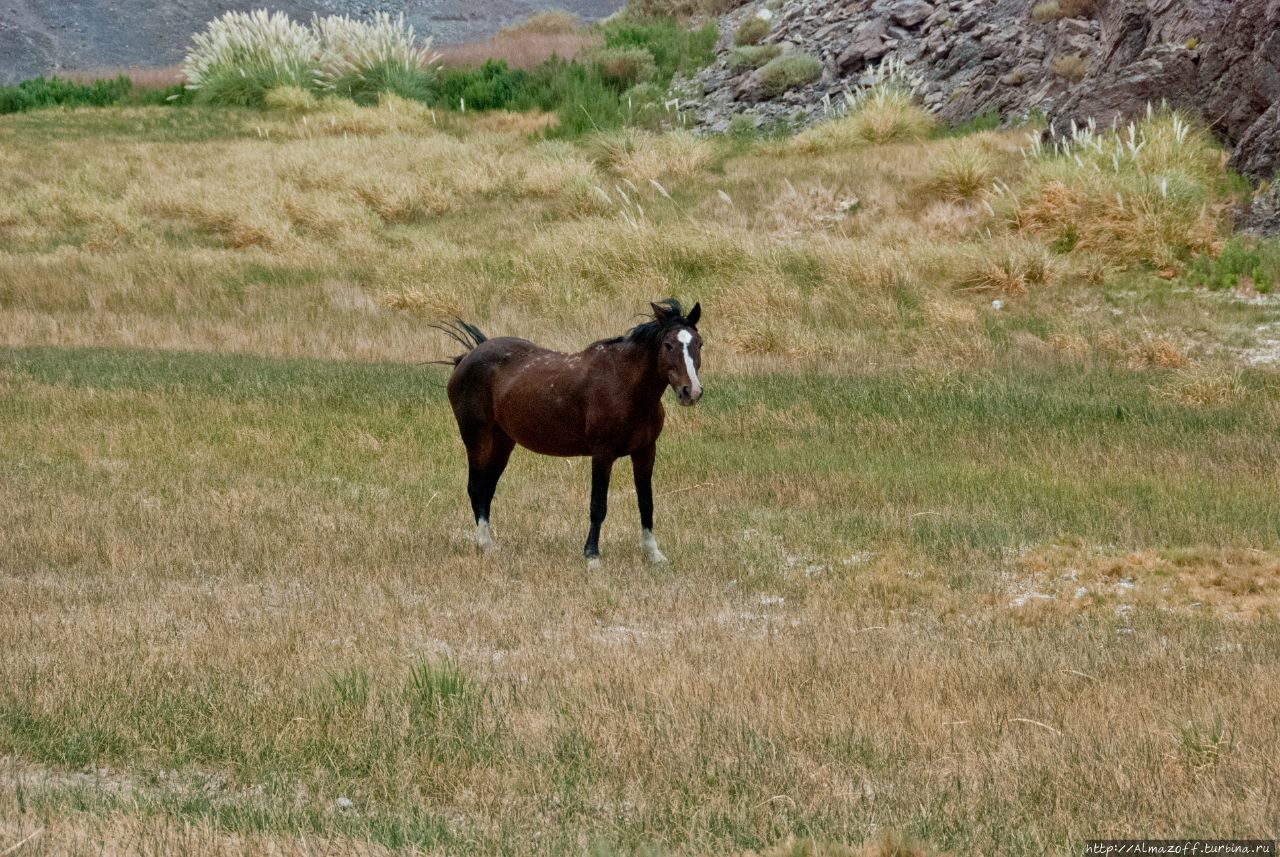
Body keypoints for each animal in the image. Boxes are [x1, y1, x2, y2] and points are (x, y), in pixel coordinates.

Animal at [435, 301, 706, 570]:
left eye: (699, 344)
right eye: (668, 345)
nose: (691, 392)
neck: (624, 386)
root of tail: (468, 356)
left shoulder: (645, 451)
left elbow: (646, 502)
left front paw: (653, 554)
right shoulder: (602, 454)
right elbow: (598, 505)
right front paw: (592, 556)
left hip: (503, 441)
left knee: (487, 488)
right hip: (476, 436)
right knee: (476, 487)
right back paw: (485, 544)